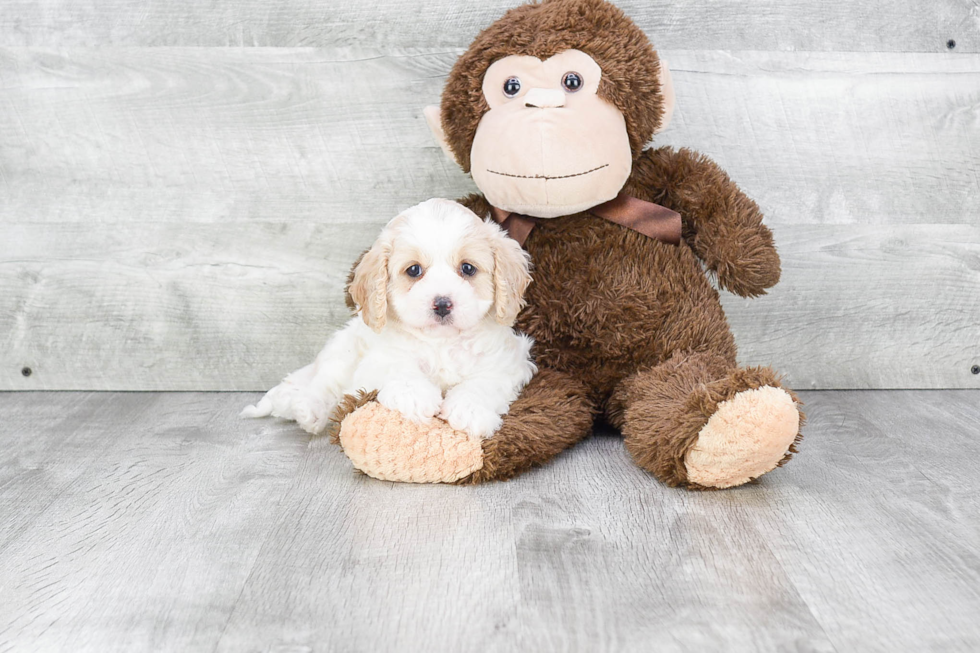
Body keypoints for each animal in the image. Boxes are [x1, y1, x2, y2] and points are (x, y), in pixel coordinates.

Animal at [243, 197, 536, 438]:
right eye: (414, 270)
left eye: (467, 268)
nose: (442, 304)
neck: (441, 343)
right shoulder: (378, 360)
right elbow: (399, 368)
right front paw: (415, 396)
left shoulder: (507, 362)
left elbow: (484, 382)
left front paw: (469, 409)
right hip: (342, 353)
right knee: (325, 384)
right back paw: (309, 410)